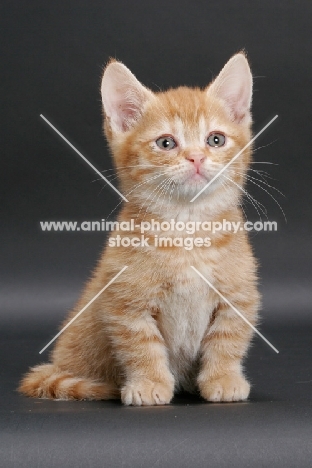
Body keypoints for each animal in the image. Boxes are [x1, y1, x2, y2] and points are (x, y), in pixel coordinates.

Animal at [18, 53, 260, 404]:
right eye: (166, 143)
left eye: (216, 139)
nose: (196, 158)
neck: (187, 229)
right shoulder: (126, 303)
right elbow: (141, 347)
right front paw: (149, 383)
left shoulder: (238, 297)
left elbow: (228, 341)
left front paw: (223, 378)